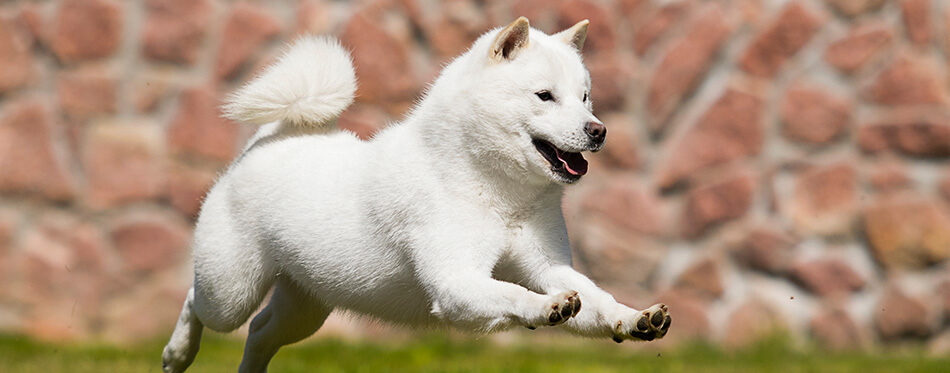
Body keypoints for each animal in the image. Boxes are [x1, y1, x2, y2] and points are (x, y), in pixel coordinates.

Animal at [162, 18, 668, 372]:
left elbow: (598, 302)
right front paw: (546, 306)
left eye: (585, 98)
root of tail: (270, 138)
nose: (598, 131)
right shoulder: (456, 282)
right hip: (232, 290)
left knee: (260, 333)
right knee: (197, 302)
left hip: (305, 305)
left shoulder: (550, 267)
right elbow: (513, 294)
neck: (493, 189)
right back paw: (177, 353)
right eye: (545, 96)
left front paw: (636, 318)